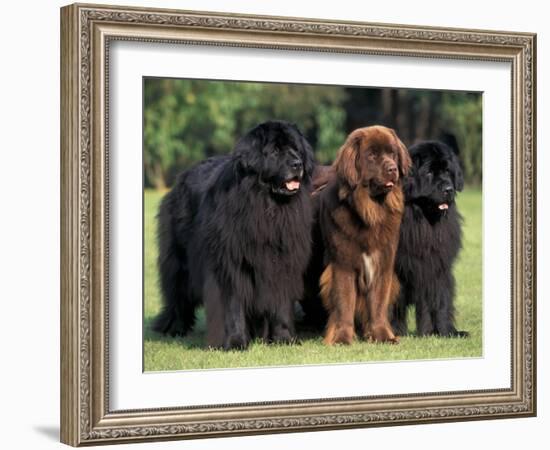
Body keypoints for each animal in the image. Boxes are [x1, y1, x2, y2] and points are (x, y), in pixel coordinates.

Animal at [152, 121, 314, 350]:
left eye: (296, 150)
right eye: (275, 151)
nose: (297, 164)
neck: (267, 207)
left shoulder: (283, 263)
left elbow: (281, 303)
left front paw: (284, 339)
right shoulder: (229, 265)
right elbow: (233, 304)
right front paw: (235, 342)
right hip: (179, 260)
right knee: (177, 293)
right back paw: (174, 328)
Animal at [316, 126, 412, 344]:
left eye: (392, 154)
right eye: (372, 156)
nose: (392, 168)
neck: (369, 212)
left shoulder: (383, 264)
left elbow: (378, 304)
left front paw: (383, 336)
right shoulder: (343, 264)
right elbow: (344, 303)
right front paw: (342, 338)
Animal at [392, 142, 470, 336]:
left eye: (448, 171)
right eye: (428, 173)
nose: (448, 189)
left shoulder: (437, 266)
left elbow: (440, 300)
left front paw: (443, 331)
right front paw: (392, 331)